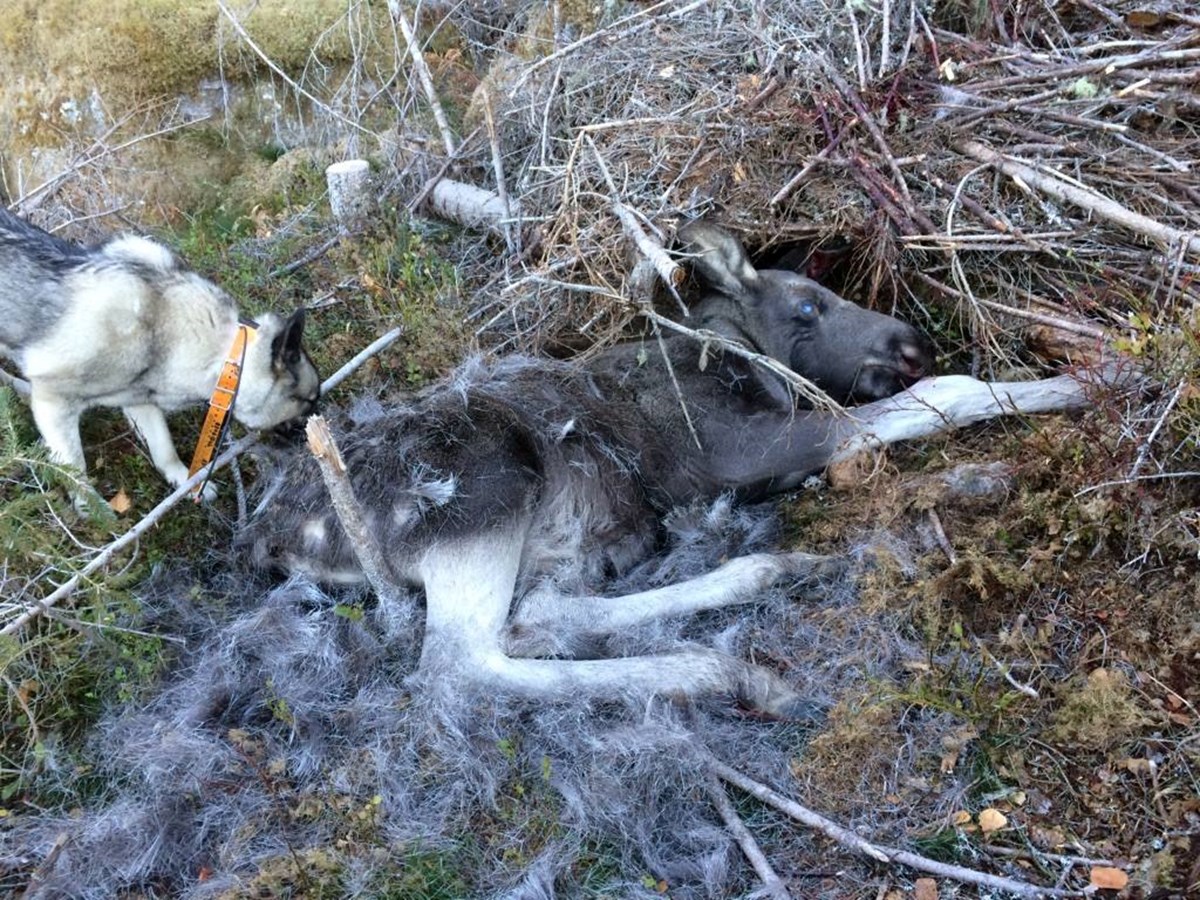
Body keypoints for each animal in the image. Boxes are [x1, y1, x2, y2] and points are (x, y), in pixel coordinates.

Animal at [0, 211, 319, 504]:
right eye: (309, 400)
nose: (321, 419)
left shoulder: (140, 400)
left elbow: (163, 447)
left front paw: (183, 479)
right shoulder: (54, 406)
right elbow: (75, 470)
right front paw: (94, 511)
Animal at [246, 222, 1089, 724]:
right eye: (808, 307)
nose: (911, 340)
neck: (744, 363)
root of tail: (273, 538)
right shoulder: (740, 449)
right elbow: (943, 398)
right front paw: (1081, 383)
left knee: (541, 615)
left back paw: (770, 575)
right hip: (484, 487)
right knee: (461, 665)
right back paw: (727, 673)